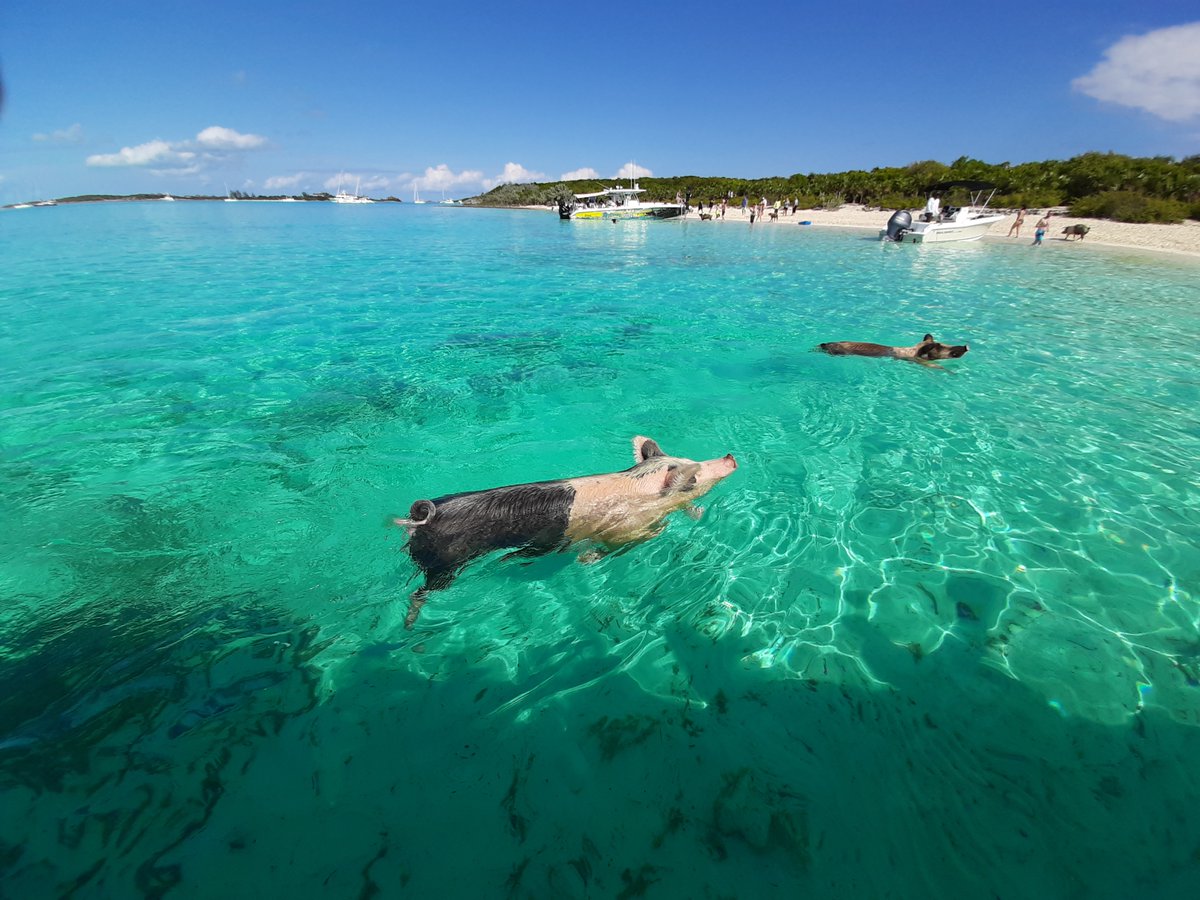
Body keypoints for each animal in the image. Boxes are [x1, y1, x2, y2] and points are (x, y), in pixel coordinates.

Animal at [393, 436, 738, 627]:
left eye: (692, 462)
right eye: (693, 476)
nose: (730, 457)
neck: (638, 488)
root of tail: (418, 520)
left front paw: (696, 513)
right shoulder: (622, 530)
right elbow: (627, 542)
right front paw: (589, 559)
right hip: (445, 564)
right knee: (421, 593)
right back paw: (409, 627)